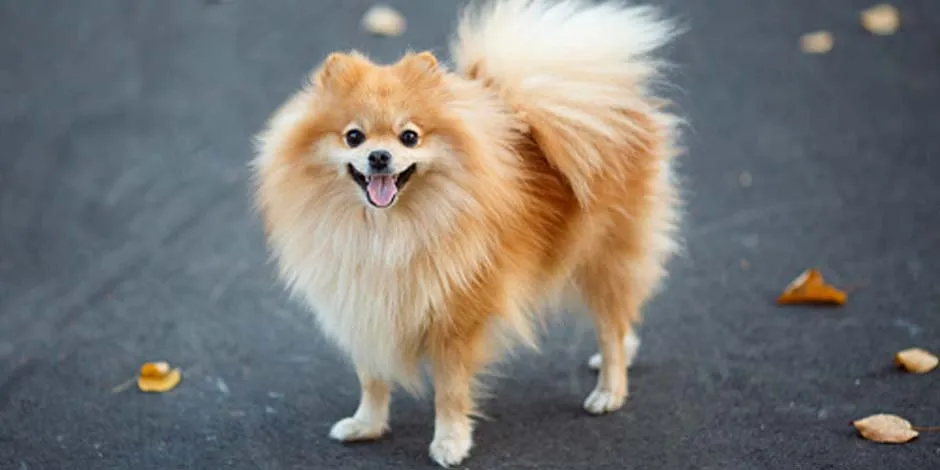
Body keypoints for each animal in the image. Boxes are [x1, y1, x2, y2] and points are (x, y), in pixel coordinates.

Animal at [253, 0, 684, 466]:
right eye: (354, 136)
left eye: (409, 136)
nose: (380, 156)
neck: (387, 232)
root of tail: (622, 105)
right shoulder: (366, 307)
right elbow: (372, 378)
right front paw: (366, 424)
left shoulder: (456, 320)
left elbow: (450, 392)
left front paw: (450, 442)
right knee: (623, 320)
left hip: (602, 257)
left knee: (610, 328)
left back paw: (609, 390)